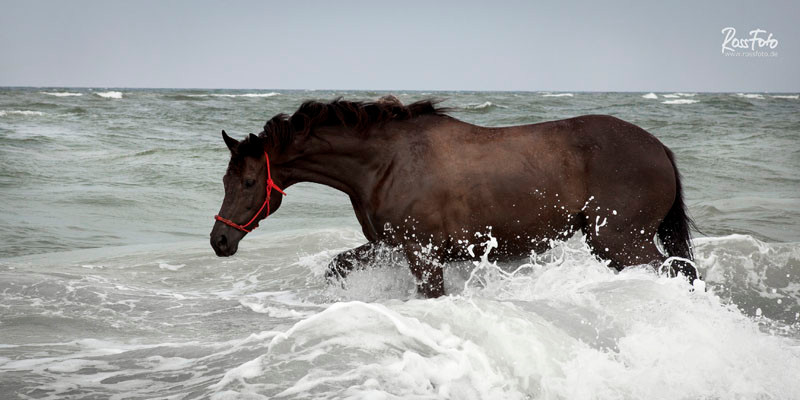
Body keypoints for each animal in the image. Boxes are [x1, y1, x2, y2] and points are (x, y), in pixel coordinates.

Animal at [211, 97, 692, 296]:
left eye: (248, 182)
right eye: (224, 181)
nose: (220, 241)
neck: (386, 162)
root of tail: (661, 149)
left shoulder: (422, 254)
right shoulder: (388, 245)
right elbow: (337, 266)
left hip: (618, 240)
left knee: (678, 273)